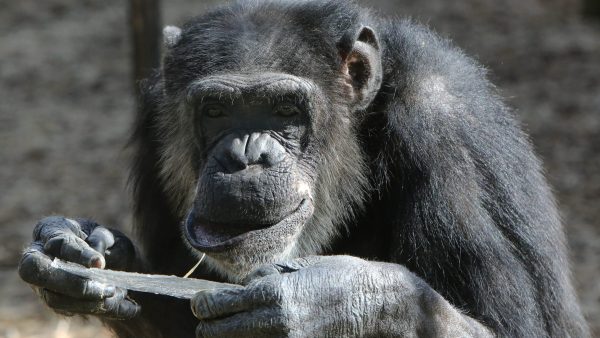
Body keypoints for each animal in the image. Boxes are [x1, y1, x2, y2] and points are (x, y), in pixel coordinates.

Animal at [17, 0, 584, 338]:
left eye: (286, 110)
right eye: (216, 111)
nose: (246, 156)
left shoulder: (442, 127)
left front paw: (329, 299)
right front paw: (85, 247)